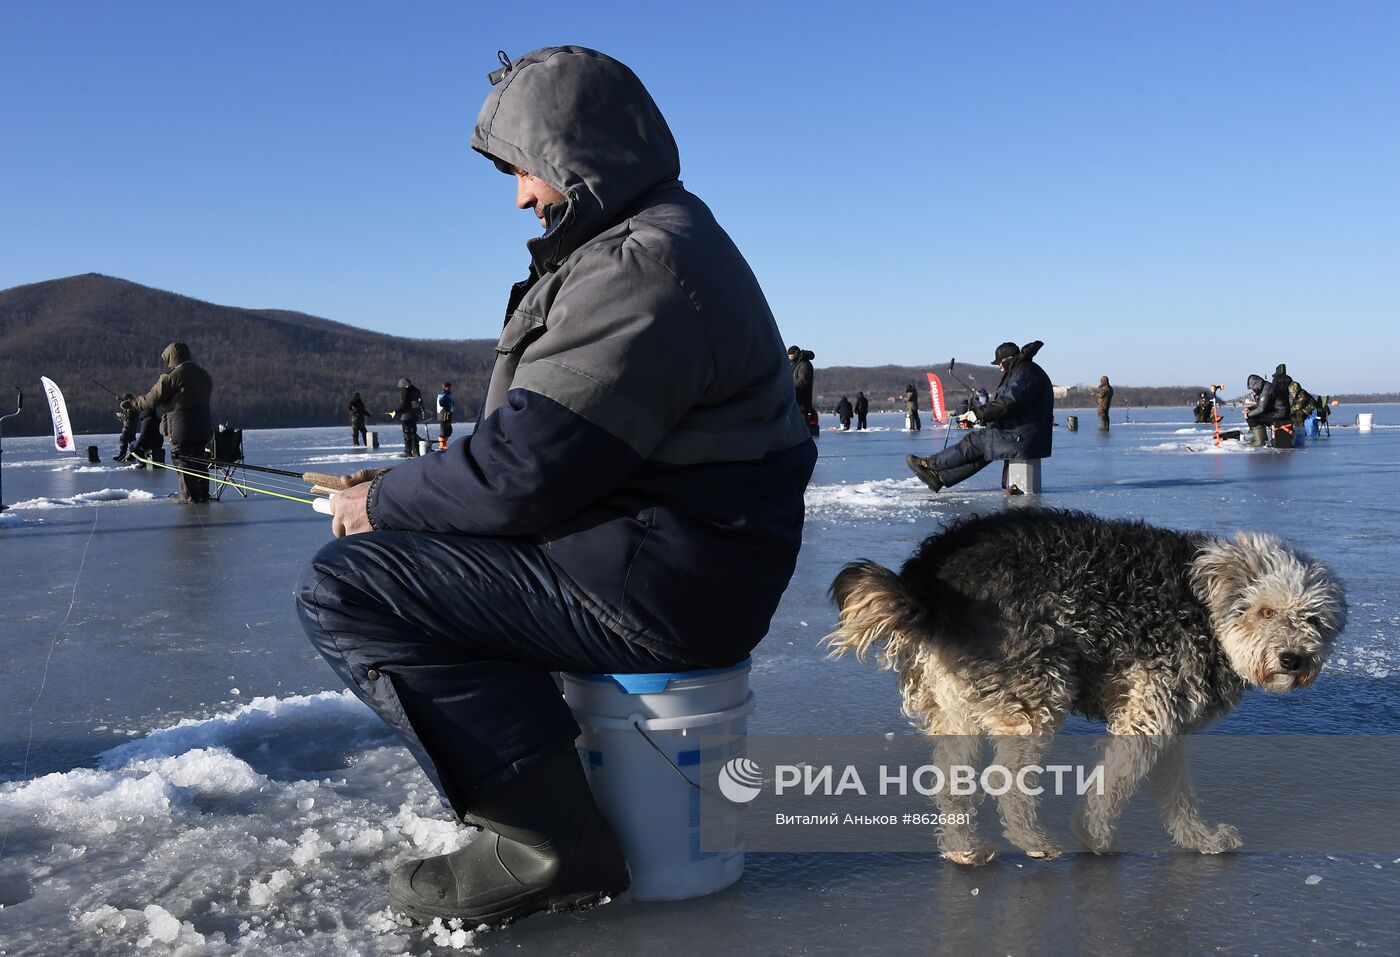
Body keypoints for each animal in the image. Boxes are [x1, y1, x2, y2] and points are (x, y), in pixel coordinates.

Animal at [828, 512, 1344, 861]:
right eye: (1265, 610)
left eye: (1314, 620)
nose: (1293, 659)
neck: (1206, 611)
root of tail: (929, 580)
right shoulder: (1147, 714)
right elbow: (1114, 784)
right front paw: (1095, 837)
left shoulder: (1167, 718)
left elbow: (1176, 793)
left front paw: (1200, 839)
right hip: (1037, 695)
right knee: (1004, 781)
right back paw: (1034, 842)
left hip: (956, 703)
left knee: (952, 782)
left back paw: (964, 849)